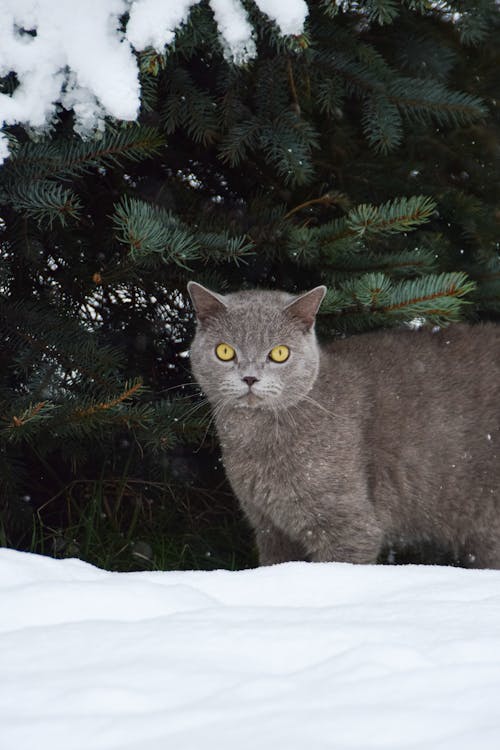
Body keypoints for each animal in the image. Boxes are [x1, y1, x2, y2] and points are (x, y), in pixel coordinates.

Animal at [188, 282, 500, 568]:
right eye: (224, 351)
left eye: (279, 354)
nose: (250, 378)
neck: (255, 440)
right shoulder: (270, 527)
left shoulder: (348, 527)